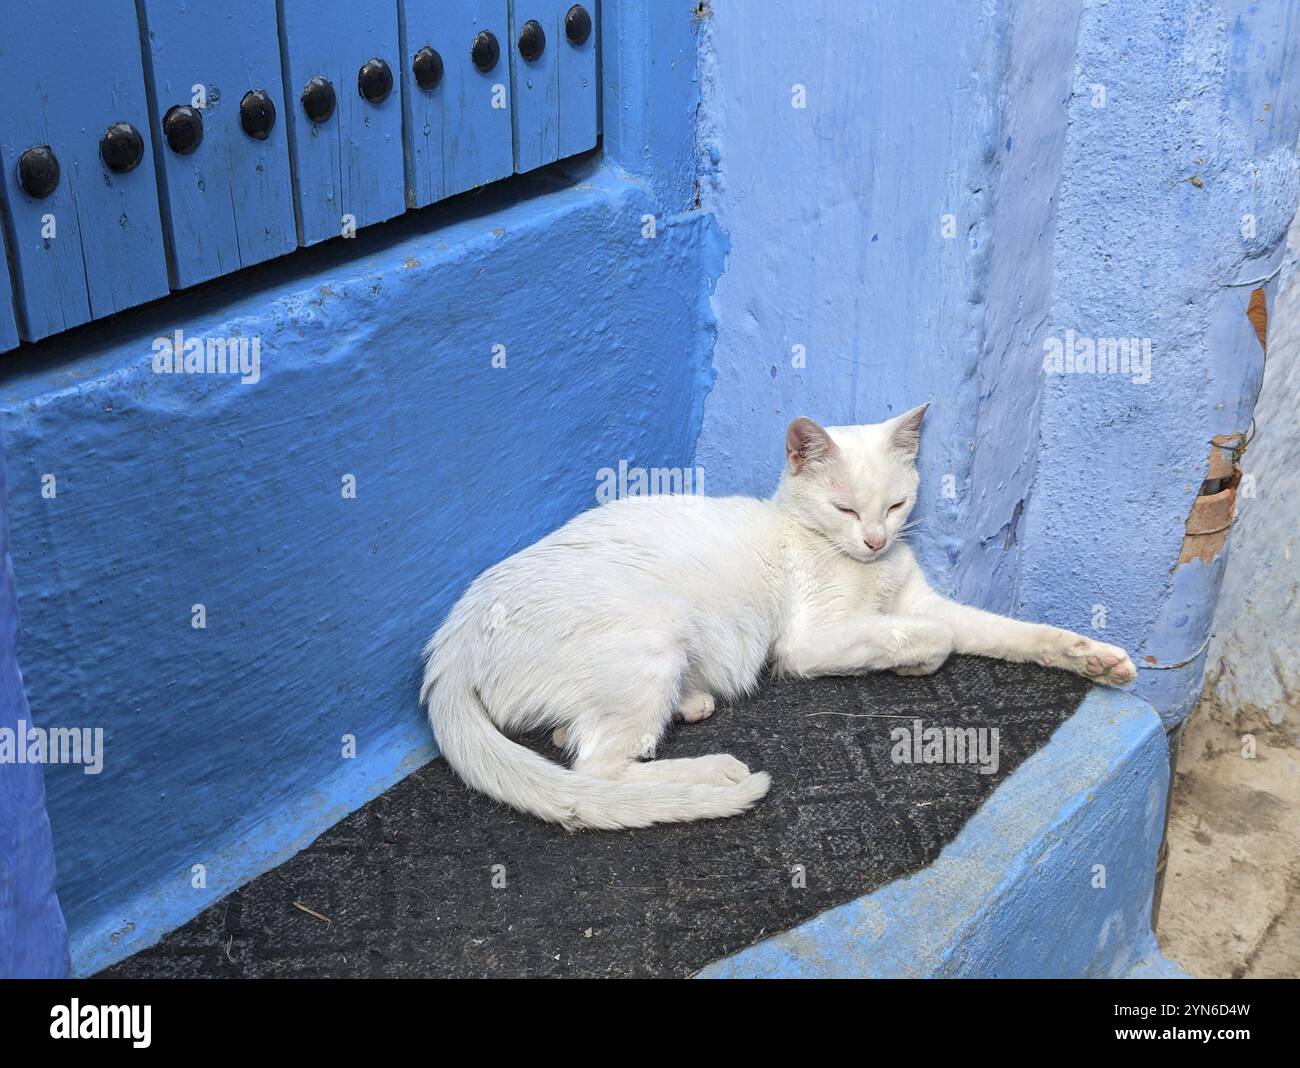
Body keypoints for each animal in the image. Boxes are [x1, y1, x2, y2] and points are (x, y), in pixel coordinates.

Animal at [421, 405, 1133, 831]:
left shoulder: (921, 601)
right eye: (845, 508)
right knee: (595, 771)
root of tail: (451, 642)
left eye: (896, 505)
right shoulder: (813, 642)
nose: (875, 539)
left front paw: (1094, 656)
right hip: (654, 631)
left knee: (575, 739)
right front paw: (914, 661)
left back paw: (691, 703)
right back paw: (712, 771)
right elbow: (939, 637)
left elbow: (1003, 632)